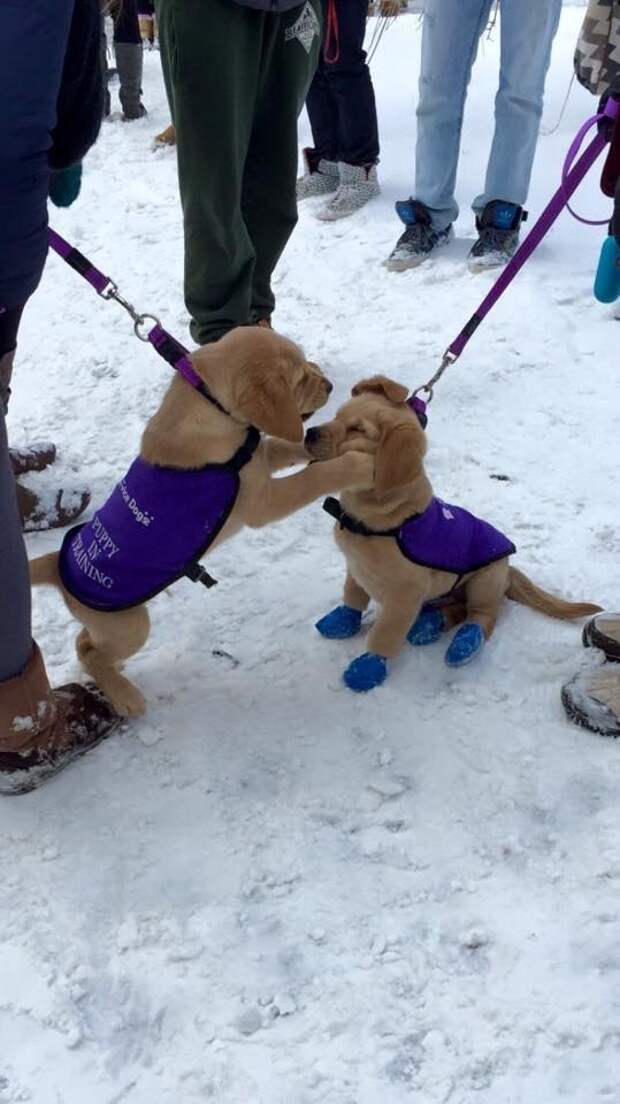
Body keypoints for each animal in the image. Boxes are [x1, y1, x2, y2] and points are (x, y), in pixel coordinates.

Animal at [31, 324, 370, 715]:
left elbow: (287, 447)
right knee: (89, 652)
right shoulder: (263, 503)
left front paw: (324, 446)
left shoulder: (260, 457)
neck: (213, 406)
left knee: (84, 642)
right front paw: (354, 463)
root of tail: (54, 564)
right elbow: (314, 477)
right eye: (300, 378)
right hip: (129, 625)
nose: (329, 385)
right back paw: (125, 696)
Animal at [304, 377, 600, 688]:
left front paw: (368, 666)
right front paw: (343, 620)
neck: (379, 518)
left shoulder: (404, 594)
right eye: (338, 416)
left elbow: (386, 633)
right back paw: (429, 624)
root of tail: (509, 571)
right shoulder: (356, 568)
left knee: (482, 615)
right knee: (456, 609)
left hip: (484, 581)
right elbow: (353, 595)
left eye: (357, 430)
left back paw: (463, 643)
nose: (308, 433)